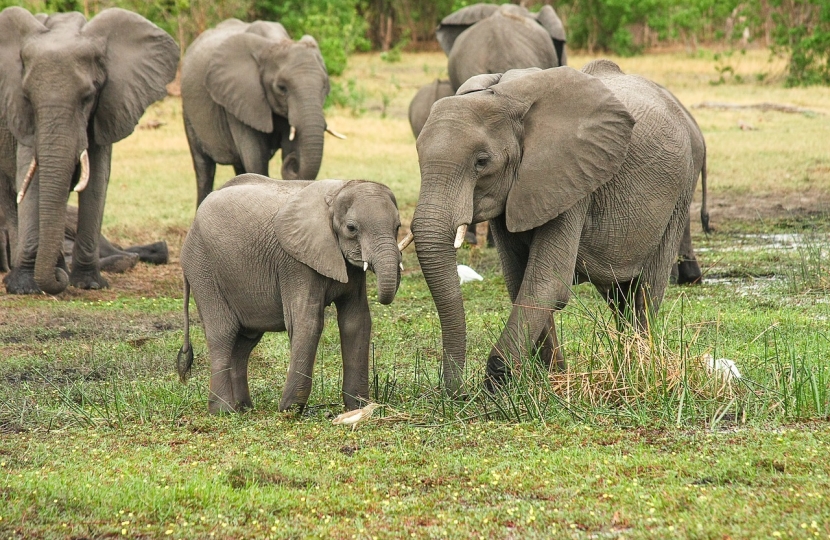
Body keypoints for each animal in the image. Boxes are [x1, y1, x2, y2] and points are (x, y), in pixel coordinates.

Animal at [0, 6, 181, 294]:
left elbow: (96, 180)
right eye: (27, 97)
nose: (57, 280)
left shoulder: (107, 106)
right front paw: (24, 287)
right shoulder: (21, 117)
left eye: (87, 97)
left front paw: (89, 284)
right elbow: (31, 178)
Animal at [179, 173, 406, 414]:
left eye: (398, 226)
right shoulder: (295, 262)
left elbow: (356, 321)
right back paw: (223, 411)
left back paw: (244, 409)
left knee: (245, 341)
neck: (336, 194)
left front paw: (359, 407)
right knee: (223, 333)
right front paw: (290, 410)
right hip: (202, 267)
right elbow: (307, 321)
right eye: (352, 228)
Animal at [181, 17, 338, 206]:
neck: (275, 43)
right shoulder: (241, 98)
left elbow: (288, 147)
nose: (293, 162)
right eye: (282, 88)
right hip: (188, 111)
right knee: (204, 168)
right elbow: (255, 159)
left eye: (325, 87)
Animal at [410, 62, 704, 396]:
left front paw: (498, 385)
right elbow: (519, 280)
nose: (457, 392)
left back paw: (639, 367)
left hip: (681, 190)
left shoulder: (571, 178)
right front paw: (552, 378)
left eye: (481, 162)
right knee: (619, 295)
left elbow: (547, 282)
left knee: (646, 288)